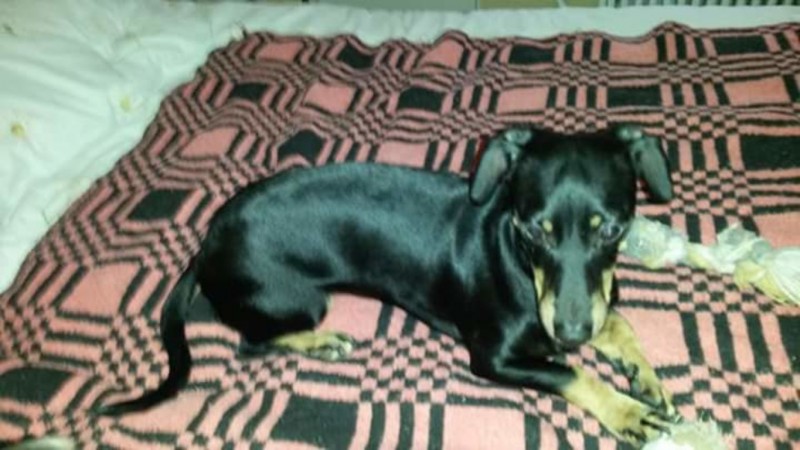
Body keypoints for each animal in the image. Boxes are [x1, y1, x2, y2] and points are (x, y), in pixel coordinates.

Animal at [98, 125, 677, 444]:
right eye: (534, 229)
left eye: (614, 229)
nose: (572, 333)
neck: (512, 255)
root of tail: (206, 244)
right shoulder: (493, 357)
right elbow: (569, 374)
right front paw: (626, 410)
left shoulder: (587, 306)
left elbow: (618, 324)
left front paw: (644, 377)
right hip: (299, 299)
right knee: (252, 341)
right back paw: (323, 344)